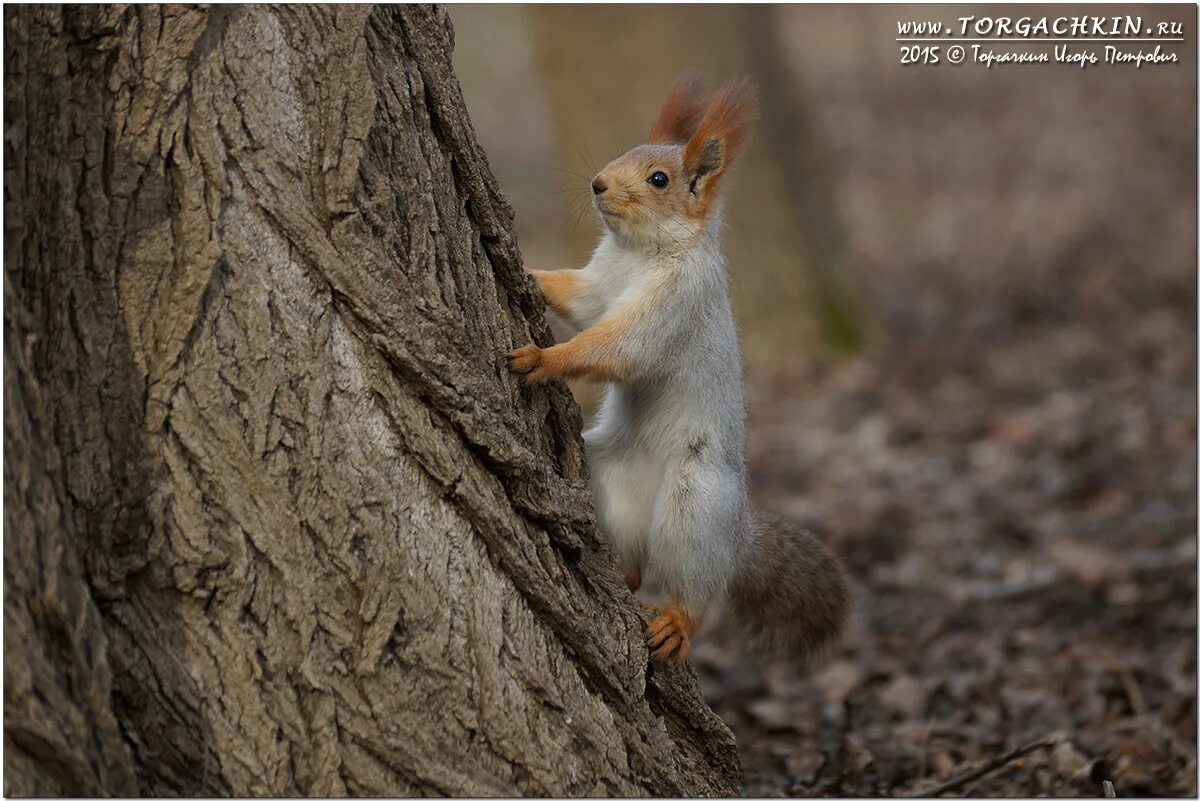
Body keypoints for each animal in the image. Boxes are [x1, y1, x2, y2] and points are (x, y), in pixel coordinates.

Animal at [511, 73, 849, 661]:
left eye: (659, 179)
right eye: (626, 151)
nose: (597, 184)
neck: (640, 253)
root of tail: (736, 542)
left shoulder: (676, 302)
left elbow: (618, 347)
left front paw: (544, 357)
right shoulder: (600, 282)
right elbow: (579, 300)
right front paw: (525, 266)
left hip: (695, 506)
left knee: (692, 588)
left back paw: (676, 622)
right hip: (609, 479)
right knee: (635, 568)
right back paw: (622, 570)